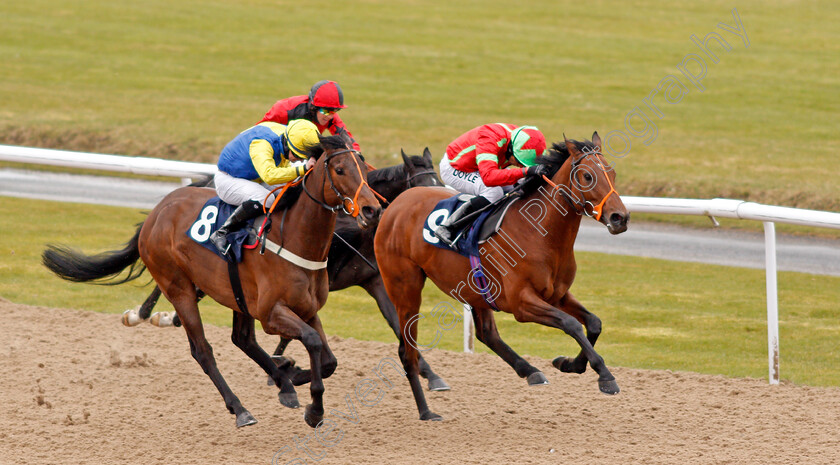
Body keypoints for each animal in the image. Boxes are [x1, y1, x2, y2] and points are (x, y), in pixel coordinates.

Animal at [41, 135, 378, 428]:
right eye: (339, 169)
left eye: (365, 169)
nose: (372, 209)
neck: (293, 237)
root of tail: (156, 212)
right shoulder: (272, 313)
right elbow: (311, 342)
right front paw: (312, 406)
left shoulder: (306, 308)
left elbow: (328, 359)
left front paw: (292, 378)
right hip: (179, 288)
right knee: (203, 350)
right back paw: (241, 409)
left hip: (235, 295)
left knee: (243, 340)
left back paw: (284, 385)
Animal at [126, 147, 452, 390]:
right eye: (422, 188)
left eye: (440, 185)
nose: (373, 211)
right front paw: (283, 367)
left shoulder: (372, 281)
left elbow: (399, 325)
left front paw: (430, 374)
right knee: (177, 293)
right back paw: (146, 314)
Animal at [374, 132, 632, 418]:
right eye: (587, 176)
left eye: (612, 172)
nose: (620, 217)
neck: (541, 232)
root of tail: (395, 204)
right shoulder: (521, 303)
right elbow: (572, 324)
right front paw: (605, 376)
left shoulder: (556, 294)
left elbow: (594, 323)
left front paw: (568, 364)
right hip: (405, 288)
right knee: (407, 351)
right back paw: (426, 411)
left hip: (475, 289)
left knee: (486, 333)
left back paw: (530, 371)